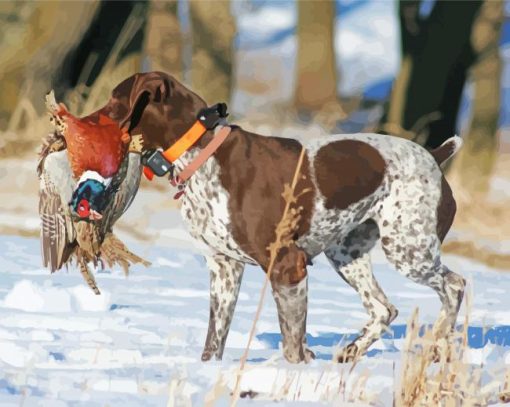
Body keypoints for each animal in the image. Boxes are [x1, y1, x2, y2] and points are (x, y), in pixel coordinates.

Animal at [101, 72, 464, 364]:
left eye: (114, 101)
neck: (202, 154)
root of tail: (434, 156)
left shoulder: (288, 266)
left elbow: (292, 343)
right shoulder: (224, 268)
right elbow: (214, 340)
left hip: (409, 251)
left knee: (454, 286)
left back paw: (436, 344)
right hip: (346, 253)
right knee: (383, 309)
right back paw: (351, 352)